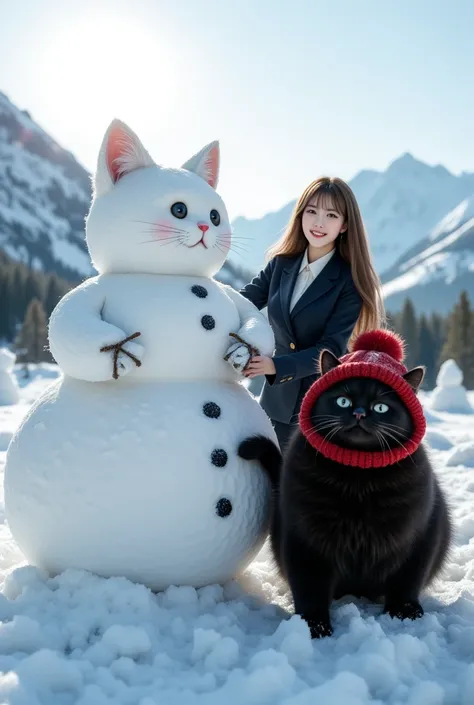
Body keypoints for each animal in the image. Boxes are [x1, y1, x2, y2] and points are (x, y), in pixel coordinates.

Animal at [241, 330, 452, 640]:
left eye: (381, 407)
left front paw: (404, 613)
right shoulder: (305, 539)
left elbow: (408, 578)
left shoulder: (421, 533)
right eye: (342, 401)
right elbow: (309, 587)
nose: (360, 413)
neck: (357, 479)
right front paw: (314, 625)